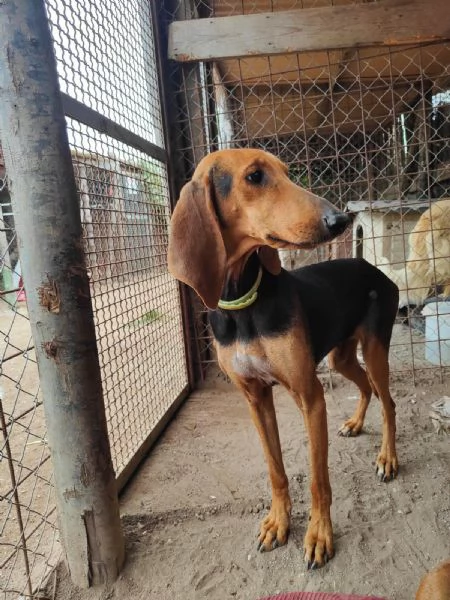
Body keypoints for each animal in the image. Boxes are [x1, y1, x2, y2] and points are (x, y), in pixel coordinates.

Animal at [167, 149, 400, 568]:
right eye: (255, 177)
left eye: (288, 173)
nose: (339, 219)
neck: (243, 304)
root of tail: (372, 268)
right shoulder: (255, 397)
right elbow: (275, 471)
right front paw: (278, 522)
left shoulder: (309, 395)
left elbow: (318, 478)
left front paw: (319, 535)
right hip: (341, 357)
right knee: (367, 389)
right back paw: (356, 423)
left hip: (375, 350)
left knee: (388, 402)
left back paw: (387, 458)